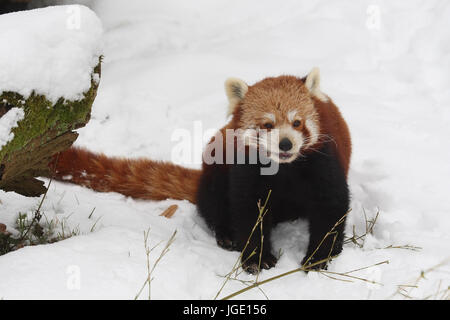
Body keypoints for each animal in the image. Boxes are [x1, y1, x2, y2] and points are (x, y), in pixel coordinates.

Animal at [50, 67, 352, 272]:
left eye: (297, 122)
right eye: (268, 125)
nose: (286, 143)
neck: (283, 169)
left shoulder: (323, 161)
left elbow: (331, 207)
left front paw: (318, 258)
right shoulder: (244, 168)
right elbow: (247, 211)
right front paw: (256, 258)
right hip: (216, 169)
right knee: (214, 203)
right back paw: (226, 235)